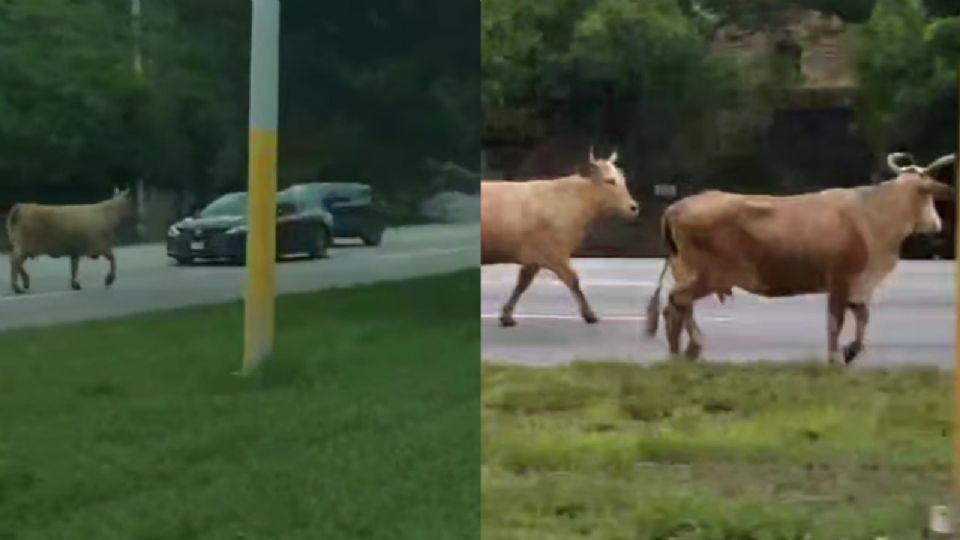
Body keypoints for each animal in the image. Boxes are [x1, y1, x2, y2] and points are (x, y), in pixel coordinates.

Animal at [7, 187, 137, 296]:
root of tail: (21, 206)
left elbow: (74, 267)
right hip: (24, 246)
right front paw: (109, 279)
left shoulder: (76, 250)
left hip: (23, 247)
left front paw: (75, 284)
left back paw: (25, 282)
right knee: (15, 261)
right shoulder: (100, 246)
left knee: (16, 262)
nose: (136, 213)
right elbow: (113, 259)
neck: (108, 213)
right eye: (130, 202)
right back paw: (17, 287)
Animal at [484, 147, 640, 324]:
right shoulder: (554, 253)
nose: (634, 207)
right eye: (610, 181)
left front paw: (507, 315)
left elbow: (522, 283)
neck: (571, 200)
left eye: (622, 179)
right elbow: (573, 280)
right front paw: (589, 313)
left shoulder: (533, 258)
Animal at [644, 150, 952, 364]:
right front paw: (835, 357)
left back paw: (679, 352)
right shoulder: (840, 279)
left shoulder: (857, 284)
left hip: (687, 270)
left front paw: (851, 350)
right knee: (678, 301)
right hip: (709, 274)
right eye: (926, 194)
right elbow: (836, 321)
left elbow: (862, 316)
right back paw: (693, 346)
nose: (937, 225)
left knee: (675, 307)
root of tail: (677, 207)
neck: (871, 215)